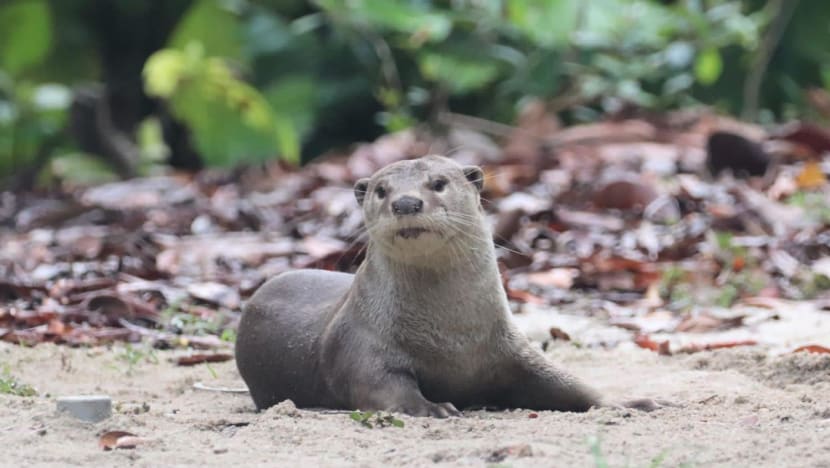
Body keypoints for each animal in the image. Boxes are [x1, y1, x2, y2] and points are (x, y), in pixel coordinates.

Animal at [236, 155, 648, 417]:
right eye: (381, 191)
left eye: (438, 183)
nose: (405, 202)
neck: (451, 336)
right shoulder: (362, 345)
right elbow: (381, 385)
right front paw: (431, 407)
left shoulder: (512, 348)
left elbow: (569, 384)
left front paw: (628, 403)